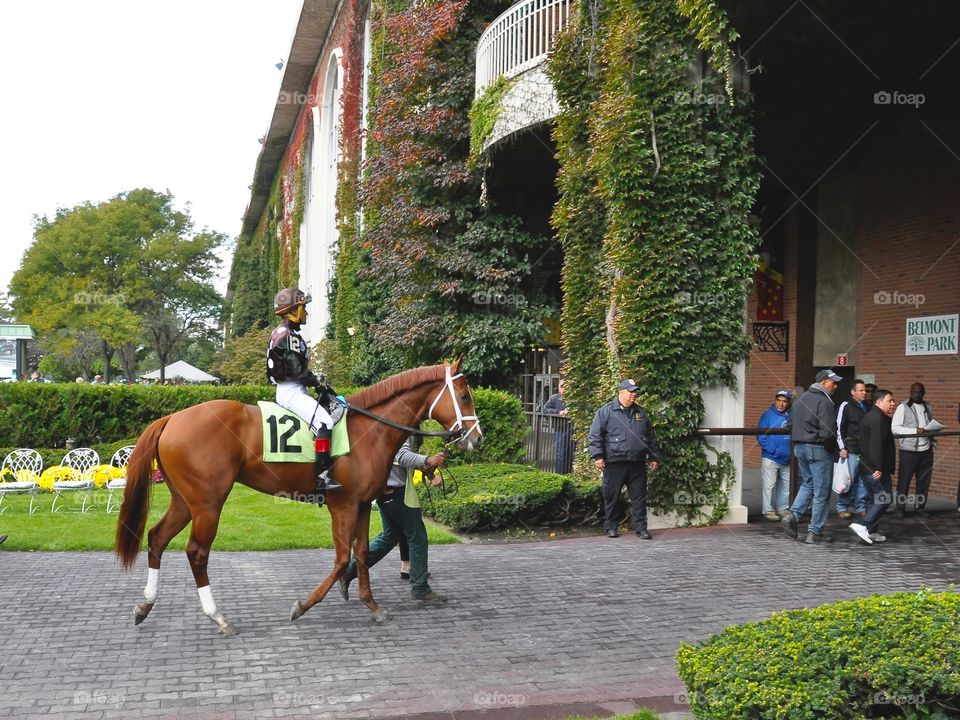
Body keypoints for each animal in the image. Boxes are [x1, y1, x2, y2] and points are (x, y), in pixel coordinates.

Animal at [114, 360, 480, 636]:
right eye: (464, 395)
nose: (476, 437)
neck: (368, 431)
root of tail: (173, 417)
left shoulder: (362, 505)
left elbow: (361, 555)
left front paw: (372, 606)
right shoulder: (343, 506)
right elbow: (340, 560)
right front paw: (302, 606)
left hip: (184, 501)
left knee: (157, 537)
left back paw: (144, 605)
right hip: (208, 503)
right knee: (196, 553)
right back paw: (218, 617)